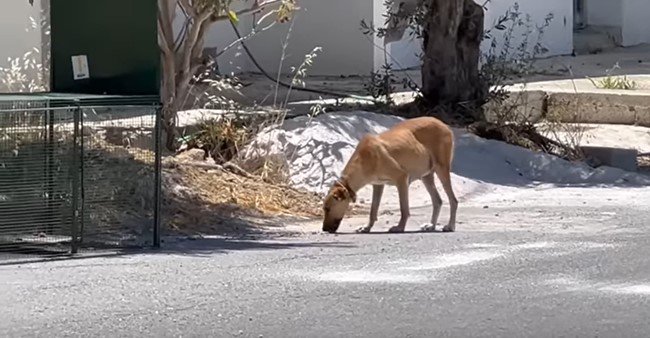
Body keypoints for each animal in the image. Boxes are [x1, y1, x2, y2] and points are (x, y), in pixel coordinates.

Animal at [320, 115, 456, 232]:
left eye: (328, 208)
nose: (324, 229)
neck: (364, 158)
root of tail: (444, 125)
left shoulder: (401, 179)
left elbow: (404, 209)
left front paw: (400, 227)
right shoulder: (378, 185)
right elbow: (373, 210)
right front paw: (367, 227)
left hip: (442, 169)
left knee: (453, 200)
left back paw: (450, 226)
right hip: (426, 176)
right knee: (437, 201)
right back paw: (432, 225)